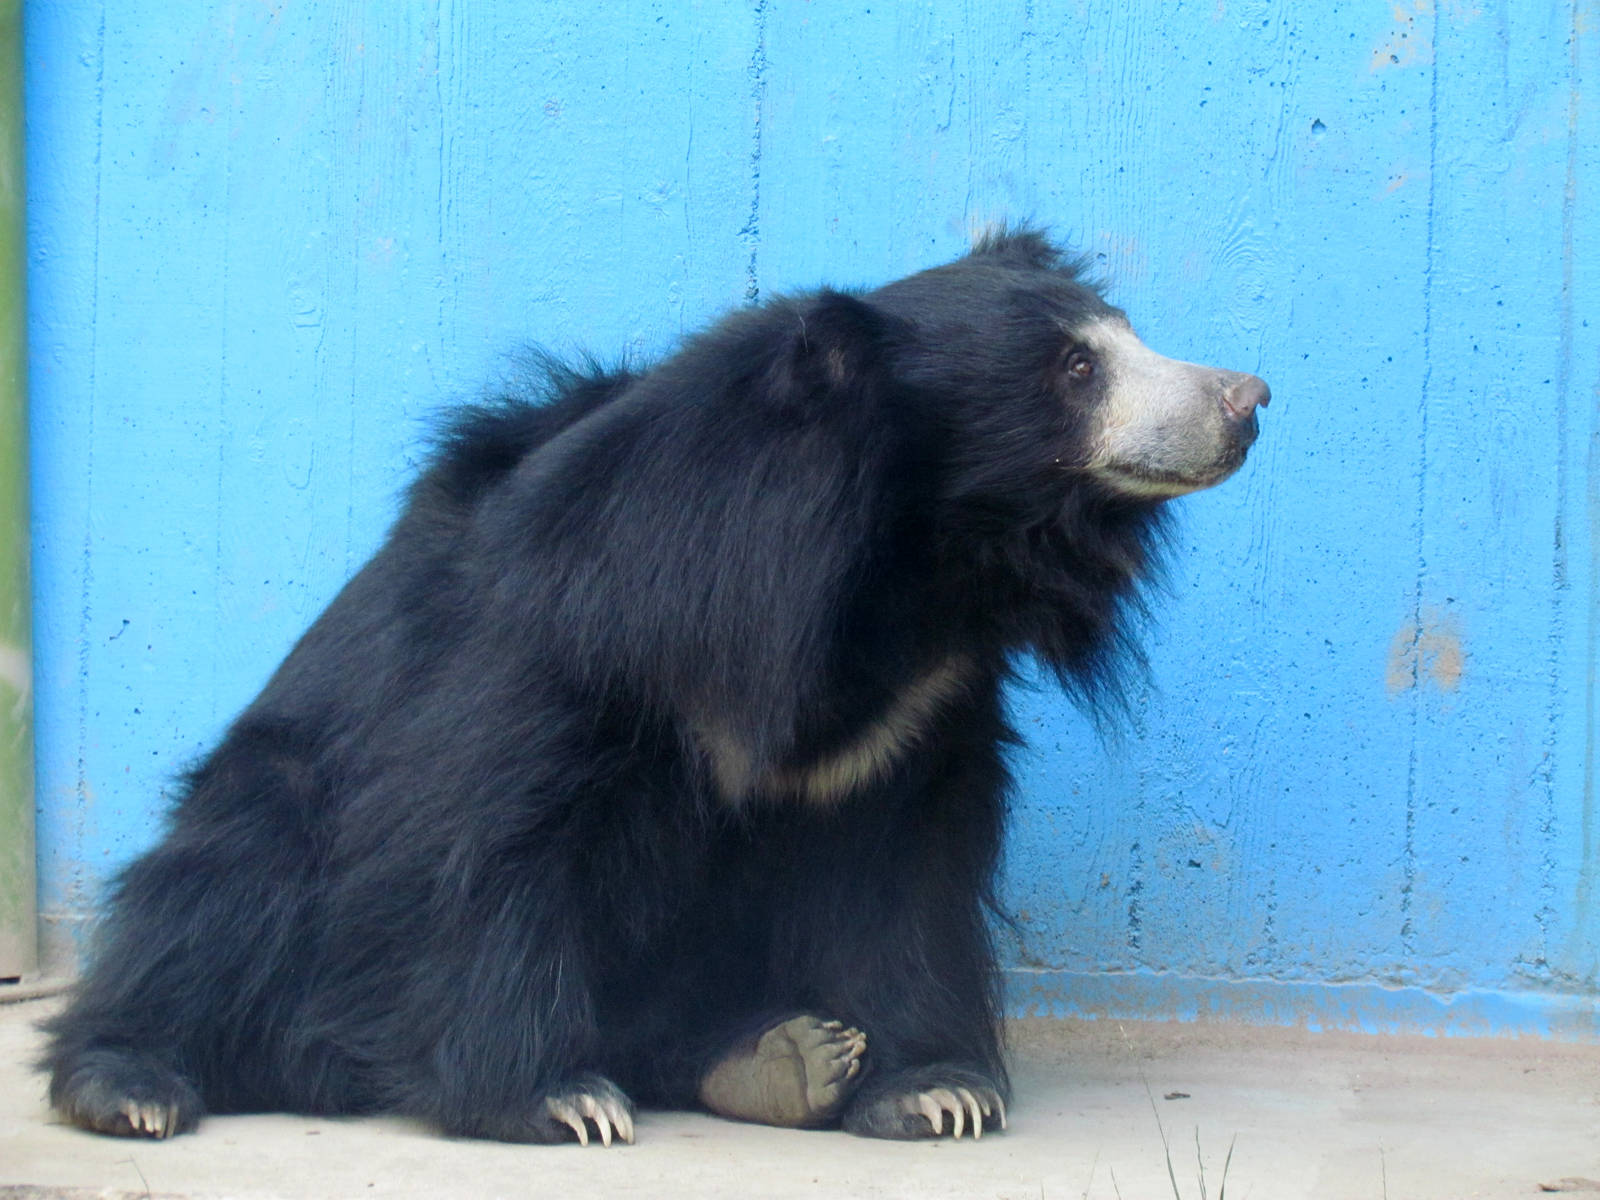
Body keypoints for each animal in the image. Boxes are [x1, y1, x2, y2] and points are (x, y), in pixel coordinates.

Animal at [41, 227, 1268, 1145]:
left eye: (1124, 338)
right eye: (1075, 369)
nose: (1247, 397)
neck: (908, 565)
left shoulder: (919, 715)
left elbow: (908, 874)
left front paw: (931, 1088)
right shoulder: (583, 628)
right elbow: (485, 833)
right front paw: (551, 1098)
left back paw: (776, 1057)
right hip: (271, 802)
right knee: (217, 894)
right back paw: (131, 1083)